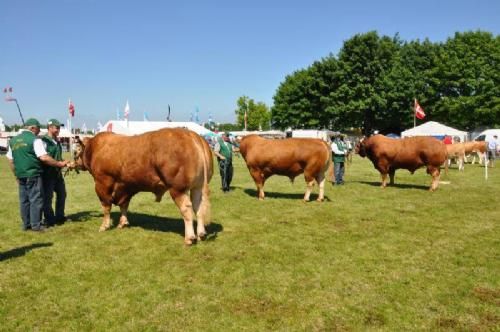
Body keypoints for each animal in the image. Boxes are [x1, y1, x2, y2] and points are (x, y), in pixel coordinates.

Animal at [74, 128, 213, 245]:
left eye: (77, 150)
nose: (75, 162)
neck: (96, 148)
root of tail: (192, 135)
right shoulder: (126, 185)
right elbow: (124, 205)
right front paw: (123, 223)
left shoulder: (102, 183)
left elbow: (106, 206)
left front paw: (104, 226)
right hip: (197, 187)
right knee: (198, 207)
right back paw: (201, 234)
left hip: (177, 188)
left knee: (186, 209)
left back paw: (189, 238)